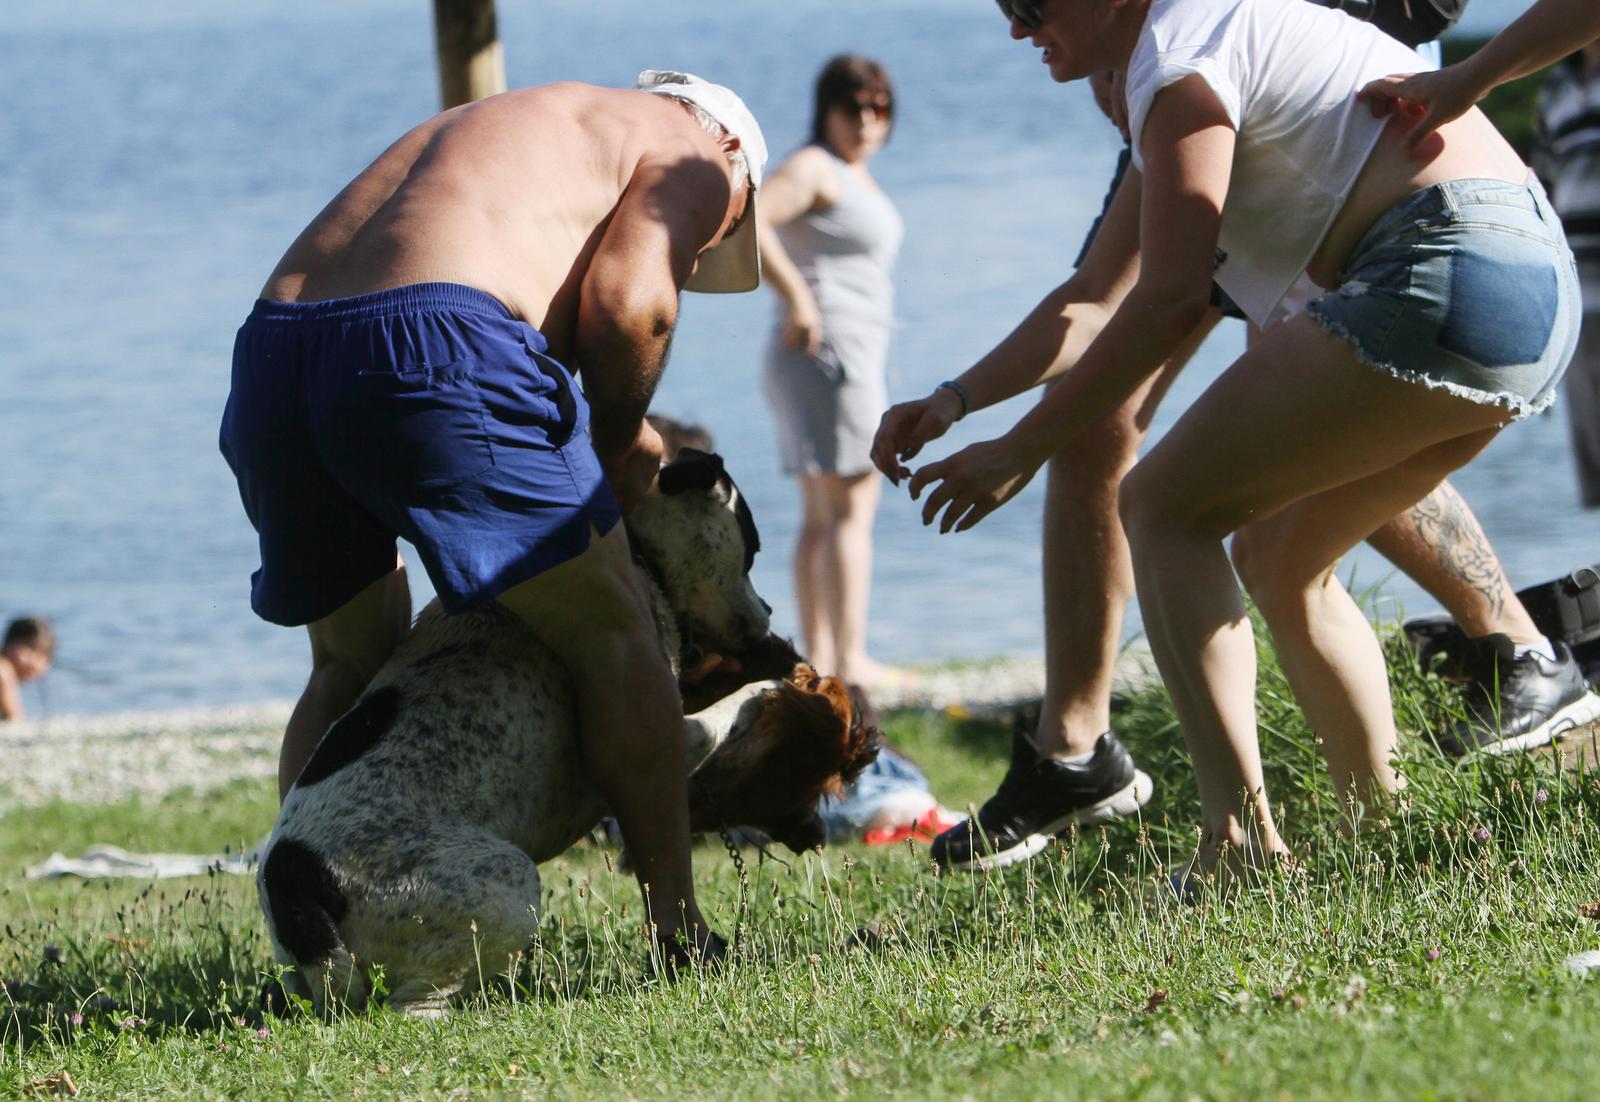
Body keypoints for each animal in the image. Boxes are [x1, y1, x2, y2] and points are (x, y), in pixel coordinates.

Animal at [254, 447, 876, 1017]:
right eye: (751, 547)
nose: (768, 613)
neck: (642, 553)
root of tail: (296, 886)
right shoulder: (679, 731)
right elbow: (732, 709)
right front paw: (776, 685)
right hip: (502, 883)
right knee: (413, 1005)